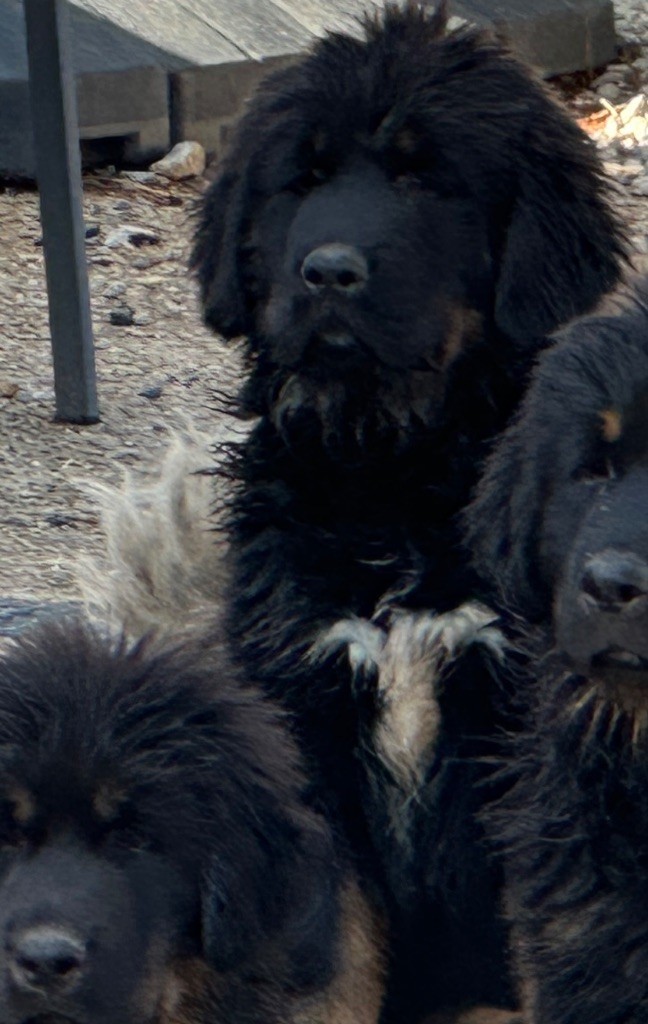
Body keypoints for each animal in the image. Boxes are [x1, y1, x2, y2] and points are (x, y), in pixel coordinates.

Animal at [190, 3, 625, 1018]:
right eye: (303, 179)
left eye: (423, 180)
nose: (327, 272)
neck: (392, 478)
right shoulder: (302, 717)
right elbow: (328, 957)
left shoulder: (520, 741)